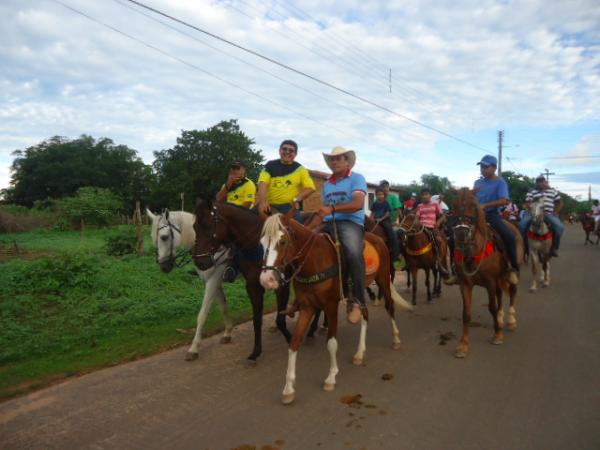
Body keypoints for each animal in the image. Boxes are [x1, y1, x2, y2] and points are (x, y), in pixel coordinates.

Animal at [148, 209, 234, 360]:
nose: (163, 267)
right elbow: (223, 307)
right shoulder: (212, 280)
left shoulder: (214, 278)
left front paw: (194, 348)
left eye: (164, 237)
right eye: (154, 237)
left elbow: (202, 315)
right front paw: (228, 332)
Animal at [192, 200, 292, 362]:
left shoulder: (282, 285)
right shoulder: (252, 285)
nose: (200, 262)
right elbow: (256, 319)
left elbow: (281, 318)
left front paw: (291, 338)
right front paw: (255, 352)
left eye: (207, 225)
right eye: (194, 226)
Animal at [258, 210, 412, 404]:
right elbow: (294, 343)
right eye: (261, 242)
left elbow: (331, 343)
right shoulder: (307, 307)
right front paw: (288, 389)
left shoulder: (330, 306)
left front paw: (331, 377)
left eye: (282, 241)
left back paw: (396, 339)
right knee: (365, 313)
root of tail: (378, 239)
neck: (314, 261)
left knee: (390, 306)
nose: (266, 280)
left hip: (383, 278)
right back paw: (359, 353)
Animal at [450, 189, 520, 358]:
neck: (472, 252)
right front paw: (463, 344)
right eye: (453, 205)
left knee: (512, 292)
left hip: (510, 273)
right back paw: (501, 318)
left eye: (473, 206)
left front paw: (498, 335)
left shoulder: (489, 281)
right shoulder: (465, 284)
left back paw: (511, 320)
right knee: (500, 295)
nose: (461, 233)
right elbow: (466, 313)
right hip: (498, 278)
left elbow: (492, 307)